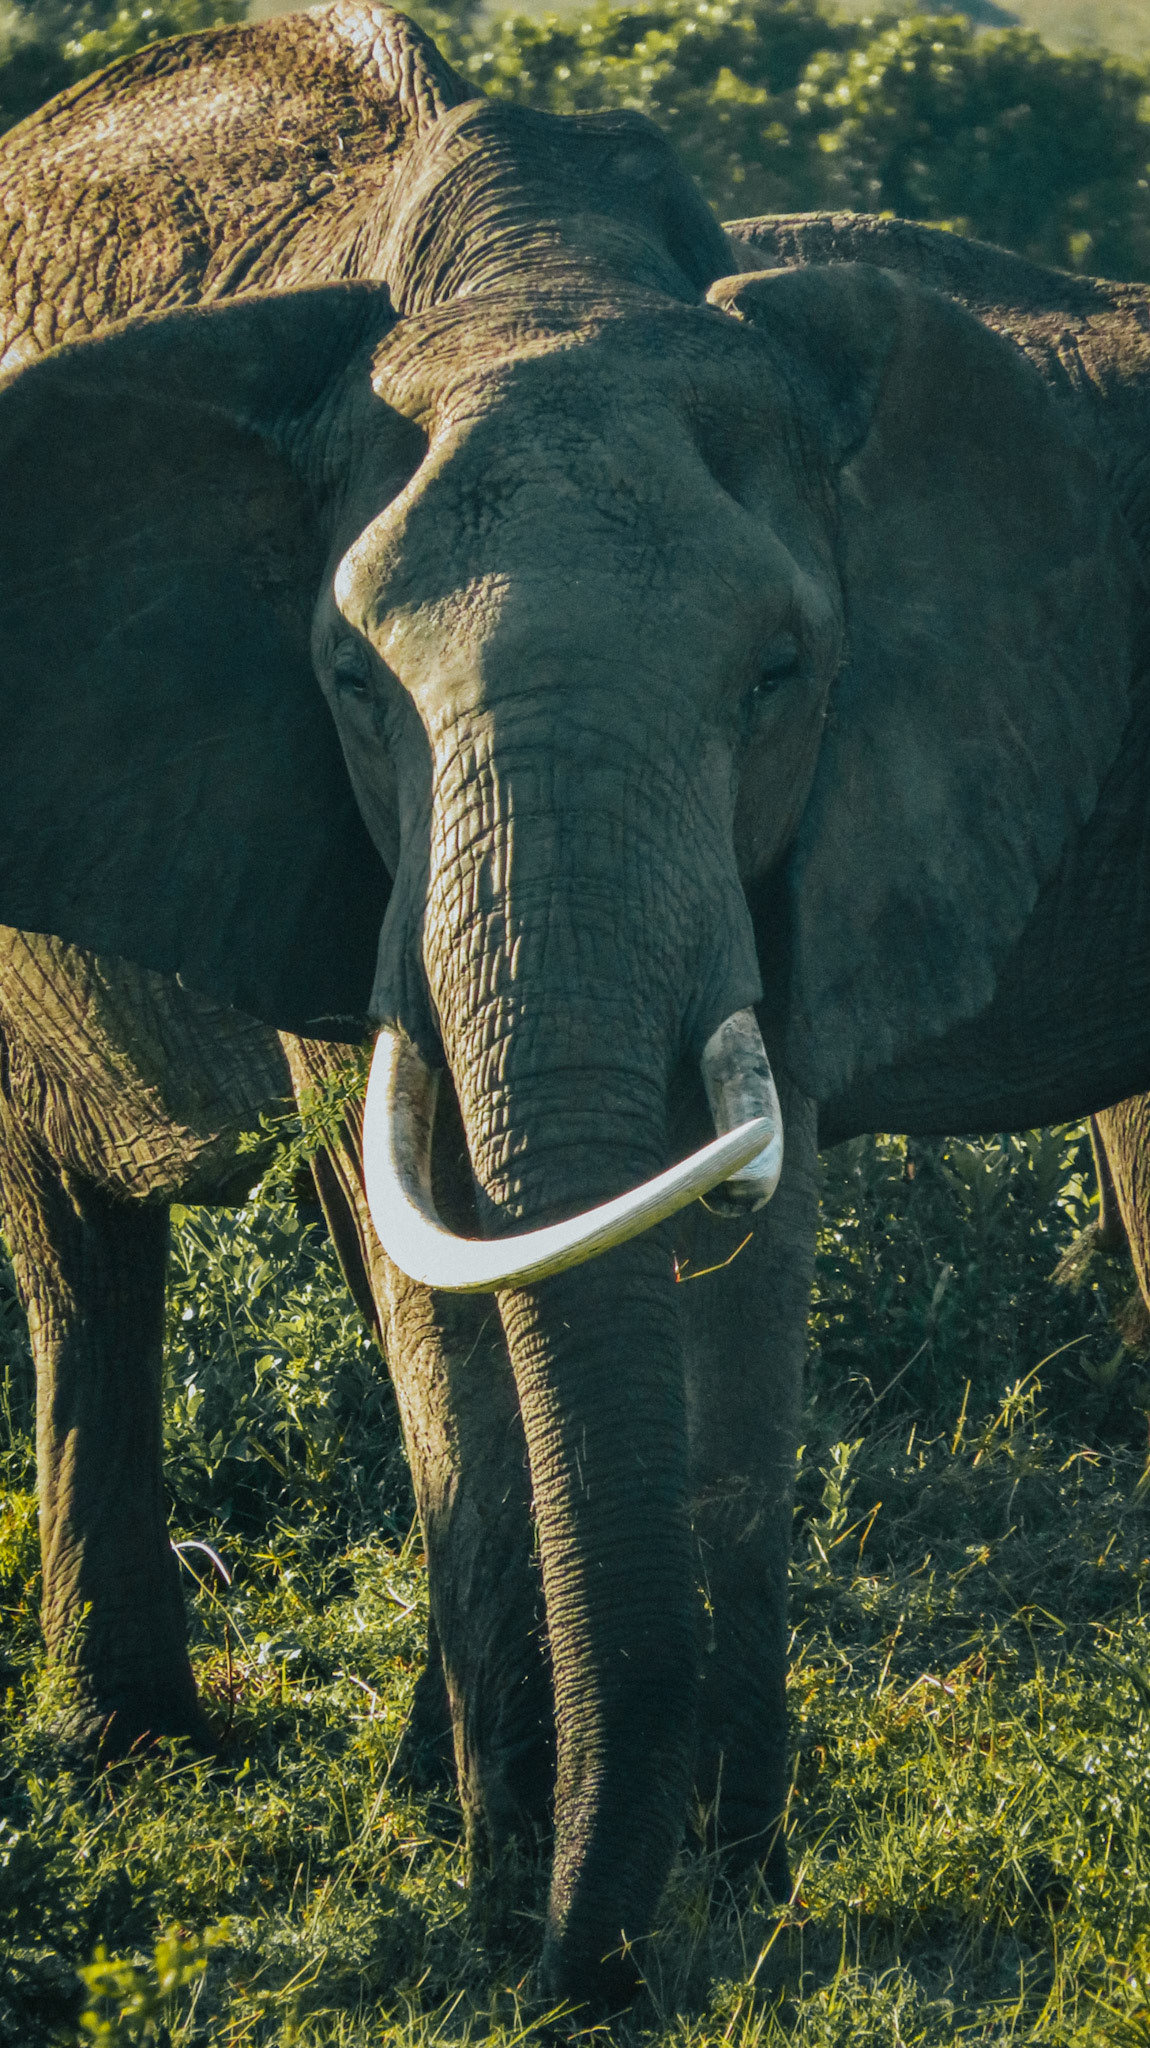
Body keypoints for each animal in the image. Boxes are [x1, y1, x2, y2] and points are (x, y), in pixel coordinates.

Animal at [2, 0, 1150, 2011]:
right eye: (345, 679)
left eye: (781, 669)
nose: (579, 1972)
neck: (540, 269)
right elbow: (437, 1240)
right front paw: (514, 1906)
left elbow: (750, 1226)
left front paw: (737, 1890)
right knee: (81, 1250)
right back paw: (147, 1750)